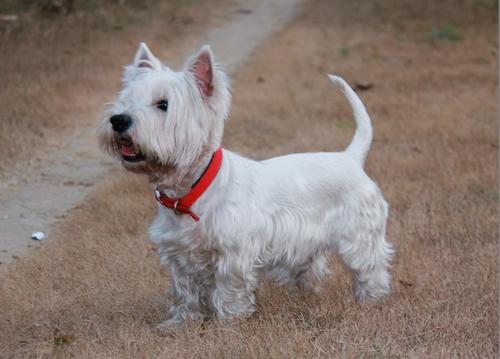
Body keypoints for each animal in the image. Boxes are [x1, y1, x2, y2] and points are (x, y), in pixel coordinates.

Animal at [97, 43, 394, 328]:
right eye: (126, 100)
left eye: (163, 104)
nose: (119, 119)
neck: (189, 194)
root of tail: (350, 157)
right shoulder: (179, 253)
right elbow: (185, 291)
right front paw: (181, 323)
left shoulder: (233, 253)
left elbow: (228, 289)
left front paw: (228, 323)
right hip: (308, 242)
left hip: (359, 236)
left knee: (371, 268)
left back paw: (371, 301)